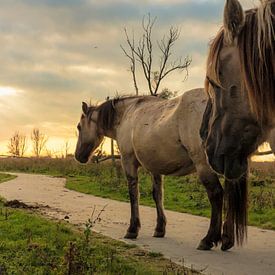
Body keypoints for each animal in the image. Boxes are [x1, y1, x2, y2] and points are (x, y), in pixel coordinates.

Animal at [74, 89, 247, 252]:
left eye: (79, 127)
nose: (78, 156)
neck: (127, 114)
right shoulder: (155, 167)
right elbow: (158, 195)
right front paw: (160, 229)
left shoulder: (128, 162)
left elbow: (133, 194)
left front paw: (132, 229)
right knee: (229, 196)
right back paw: (227, 240)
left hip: (203, 164)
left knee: (216, 194)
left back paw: (208, 239)